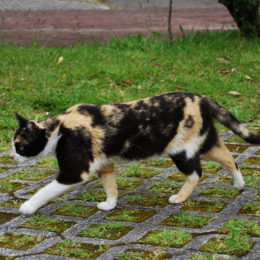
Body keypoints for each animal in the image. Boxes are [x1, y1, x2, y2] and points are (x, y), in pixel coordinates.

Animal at [10, 92, 260, 214]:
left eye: (19, 146)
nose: (11, 157)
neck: (60, 129)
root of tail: (203, 99)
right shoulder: (105, 164)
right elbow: (110, 186)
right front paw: (110, 205)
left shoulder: (74, 172)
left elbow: (45, 190)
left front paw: (27, 207)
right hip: (206, 142)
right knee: (230, 159)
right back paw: (239, 184)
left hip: (181, 150)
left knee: (196, 173)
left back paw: (179, 198)